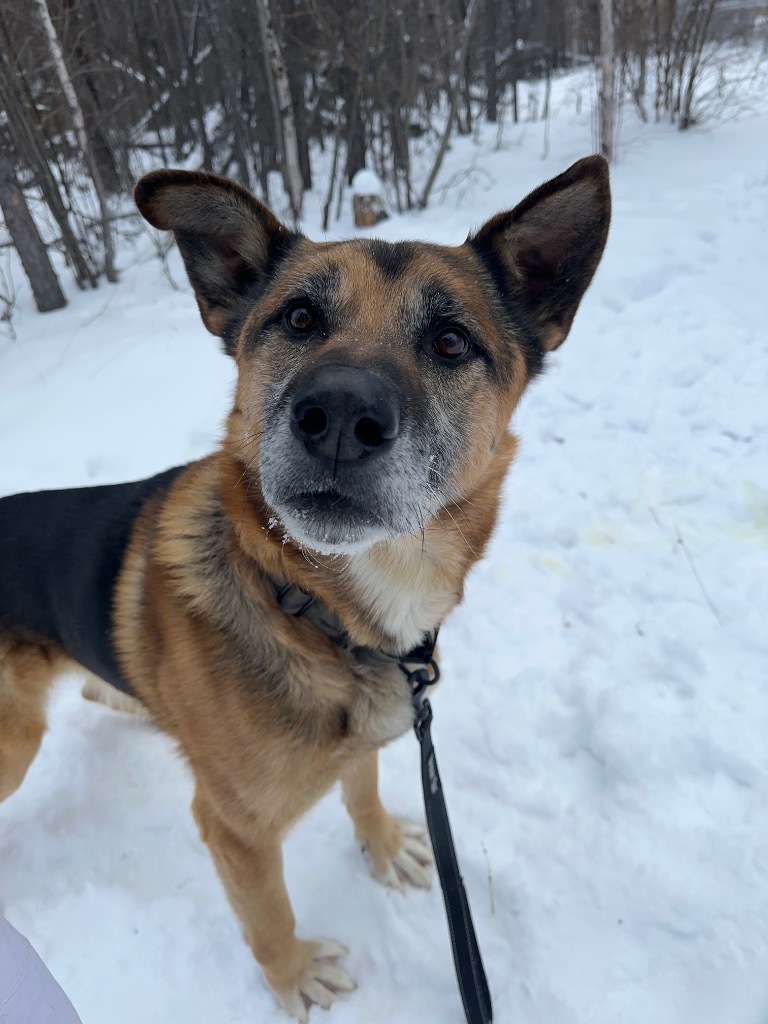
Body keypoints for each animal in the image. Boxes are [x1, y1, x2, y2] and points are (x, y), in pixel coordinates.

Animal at [0, 155, 614, 1019]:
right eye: (297, 318)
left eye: (451, 340)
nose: (340, 415)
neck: (320, 611)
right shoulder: (234, 830)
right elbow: (269, 913)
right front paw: (293, 977)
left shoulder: (370, 739)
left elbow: (362, 788)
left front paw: (382, 845)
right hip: (12, 744)